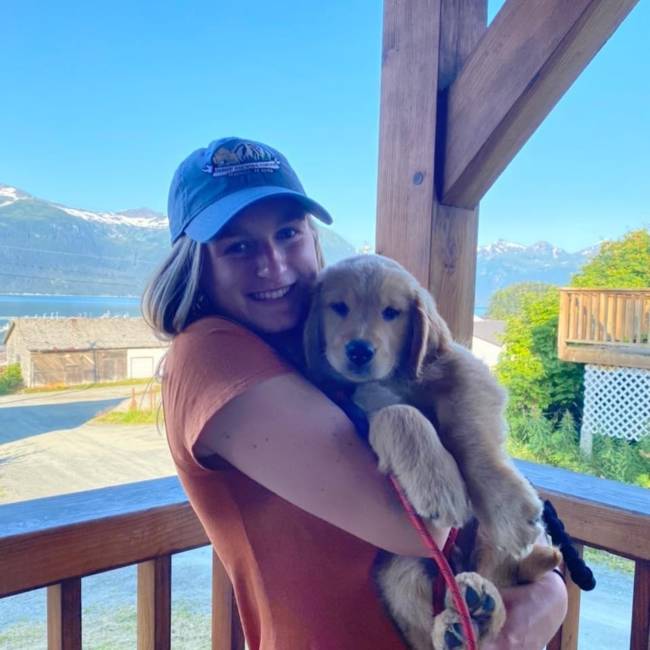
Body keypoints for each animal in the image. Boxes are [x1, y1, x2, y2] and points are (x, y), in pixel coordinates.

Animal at [302, 254, 556, 648]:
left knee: (497, 575)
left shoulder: (463, 368)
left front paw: (509, 508)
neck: (392, 378)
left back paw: (480, 605)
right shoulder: (359, 404)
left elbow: (469, 425)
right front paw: (439, 485)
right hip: (400, 569)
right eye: (338, 307)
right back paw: (464, 618)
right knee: (429, 626)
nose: (359, 350)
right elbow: (398, 413)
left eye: (391, 312)